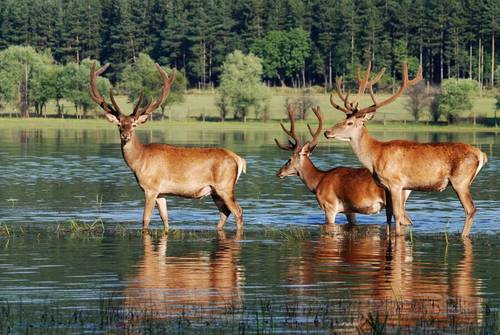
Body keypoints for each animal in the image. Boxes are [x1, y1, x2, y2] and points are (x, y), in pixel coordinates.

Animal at [91, 62, 247, 231]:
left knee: (238, 211)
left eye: (133, 124)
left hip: (225, 186)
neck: (140, 161)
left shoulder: (151, 188)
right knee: (225, 212)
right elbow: (165, 219)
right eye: (119, 125)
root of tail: (239, 159)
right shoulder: (161, 193)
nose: (125, 136)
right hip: (215, 191)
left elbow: (145, 219)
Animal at [322, 61, 486, 239]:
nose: (327, 132)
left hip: (460, 180)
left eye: (349, 123)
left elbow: (398, 215)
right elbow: (388, 215)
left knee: (470, 209)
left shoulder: (396, 183)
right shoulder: (386, 187)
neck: (375, 156)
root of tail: (481, 155)